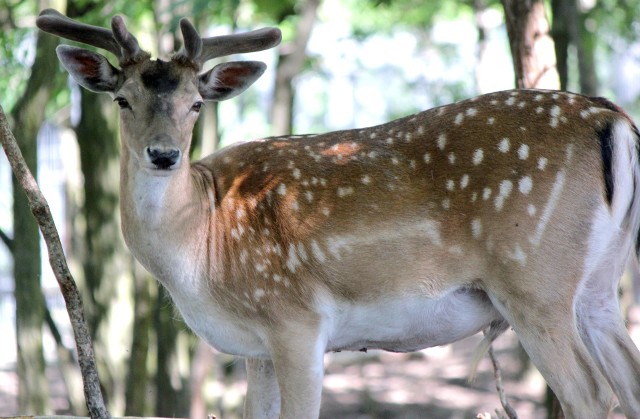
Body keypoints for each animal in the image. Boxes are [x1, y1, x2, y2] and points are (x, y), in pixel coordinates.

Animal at [36, 8, 640, 418]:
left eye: (196, 104)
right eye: (123, 99)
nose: (163, 155)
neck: (204, 247)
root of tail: (612, 119)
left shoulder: (295, 319)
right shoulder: (256, 349)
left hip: (533, 280)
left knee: (590, 395)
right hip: (599, 283)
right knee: (628, 381)